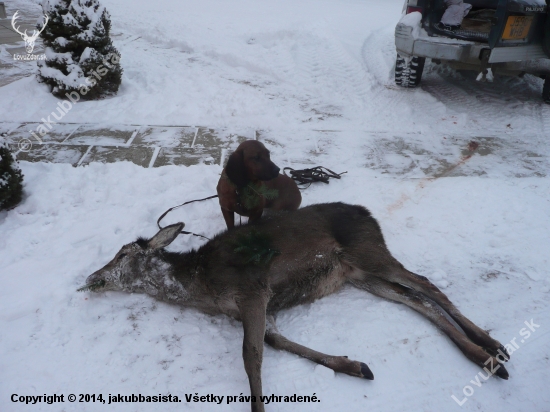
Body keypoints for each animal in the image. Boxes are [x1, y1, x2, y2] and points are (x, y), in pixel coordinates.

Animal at [84, 203, 512, 412]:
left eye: (121, 254)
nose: (91, 277)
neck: (202, 287)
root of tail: (369, 214)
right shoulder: (257, 308)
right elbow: (276, 343)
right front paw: (353, 365)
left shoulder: (253, 290)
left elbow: (251, 355)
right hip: (357, 274)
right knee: (413, 298)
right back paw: (482, 355)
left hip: (368, 251)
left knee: (426, 284)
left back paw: (491, 349)